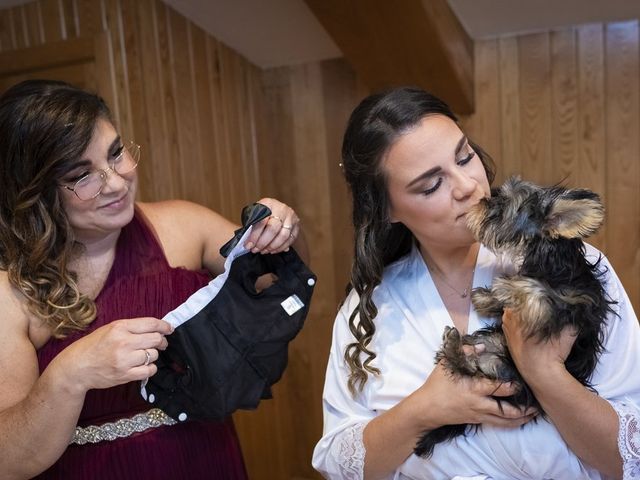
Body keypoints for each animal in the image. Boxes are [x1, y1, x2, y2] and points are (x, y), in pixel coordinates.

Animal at [416, 175, 616, 458]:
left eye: (500, 208)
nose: (481, 201)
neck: (548, 258)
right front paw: (487, 297)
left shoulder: (573, 303)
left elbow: (538, 291)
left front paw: (507, 286)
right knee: (466, 365)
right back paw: (455, 343)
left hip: (508, 375)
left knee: (469, 369)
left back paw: (454, 345)